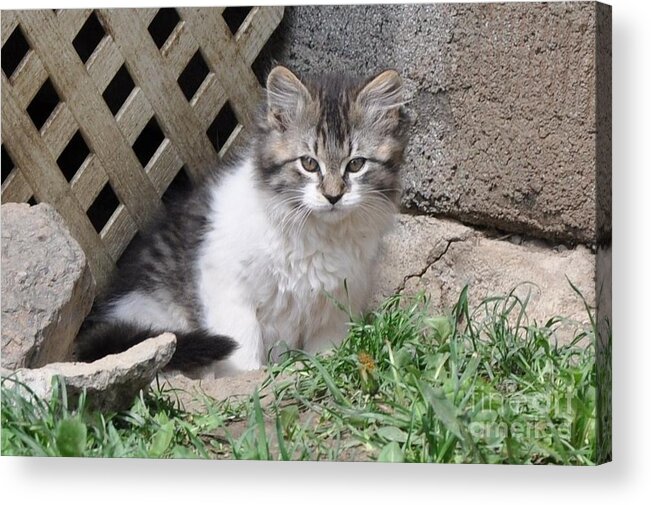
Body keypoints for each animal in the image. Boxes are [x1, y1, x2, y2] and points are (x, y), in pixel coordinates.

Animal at [76, 65, 410, 376]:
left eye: (355, 165)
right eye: (309, 163)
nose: (333, 196)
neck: (318, 234)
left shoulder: (337, 305)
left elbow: (325, 351)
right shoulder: (227, 286)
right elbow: (244, 349)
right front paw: (251, 377)